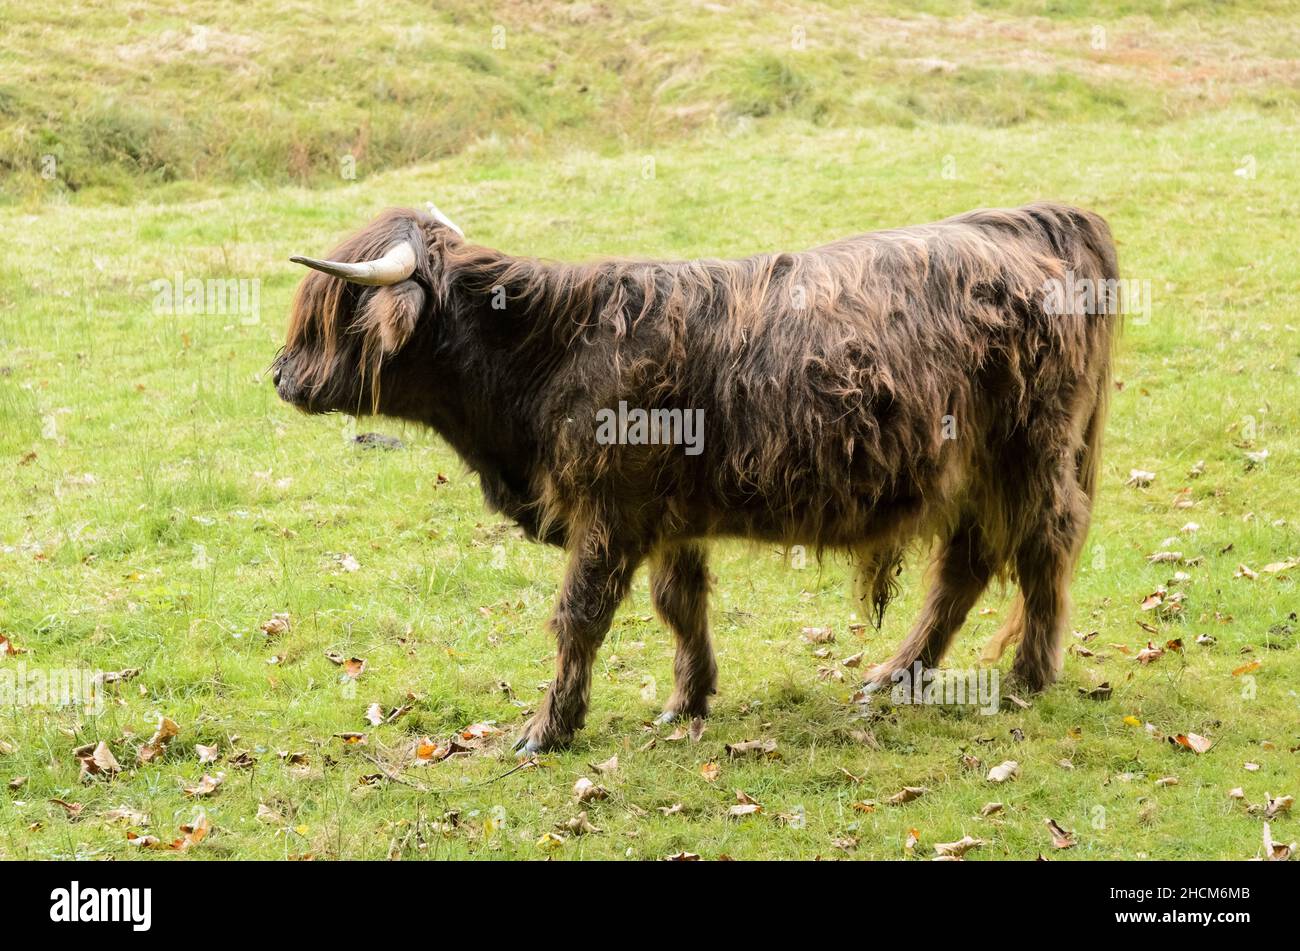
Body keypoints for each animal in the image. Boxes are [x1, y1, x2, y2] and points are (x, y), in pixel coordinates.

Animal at [274, 200, 1118, 748]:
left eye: (336, 310)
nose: (280, 374)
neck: (548, 354)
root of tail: (1027, 221)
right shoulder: (664, 512)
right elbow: (679, 604)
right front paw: (688, 699)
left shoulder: (608, 512)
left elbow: (580, 617)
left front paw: (547, 728)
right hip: (972, 469)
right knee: (967, 564)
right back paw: (895, 675)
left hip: (1029, 453)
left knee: (1044, 543)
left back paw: (1029, 675)